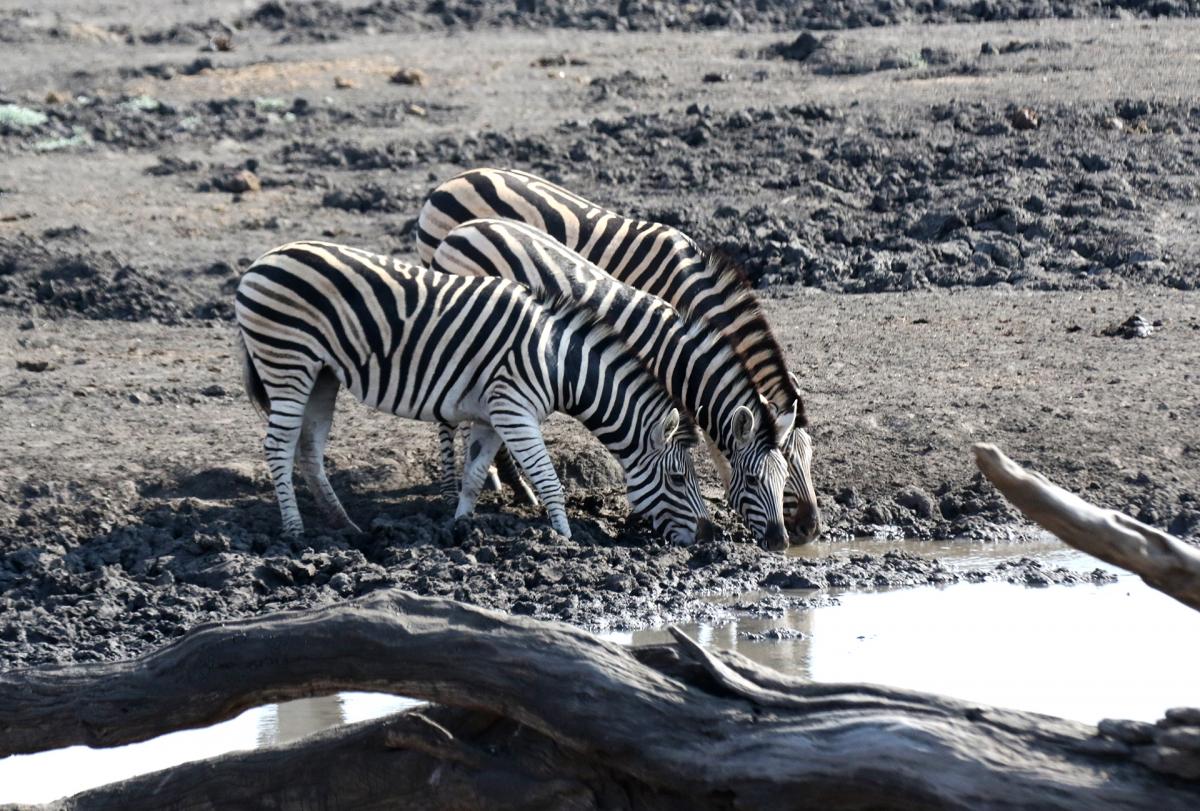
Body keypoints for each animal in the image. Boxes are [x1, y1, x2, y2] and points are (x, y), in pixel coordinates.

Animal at [235, 240, 710, 545]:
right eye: (678, 478)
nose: (707, 537)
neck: (558, 363)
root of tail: (263, 259)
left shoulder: (493, 416)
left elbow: (475, 474)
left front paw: (461, 527)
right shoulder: (514, 410)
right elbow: (548, 479)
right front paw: (564, 537)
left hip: (322, 374)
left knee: (309, 448)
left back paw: (343, 525)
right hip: (288, 361)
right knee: (278, 446)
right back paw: (295, 532)